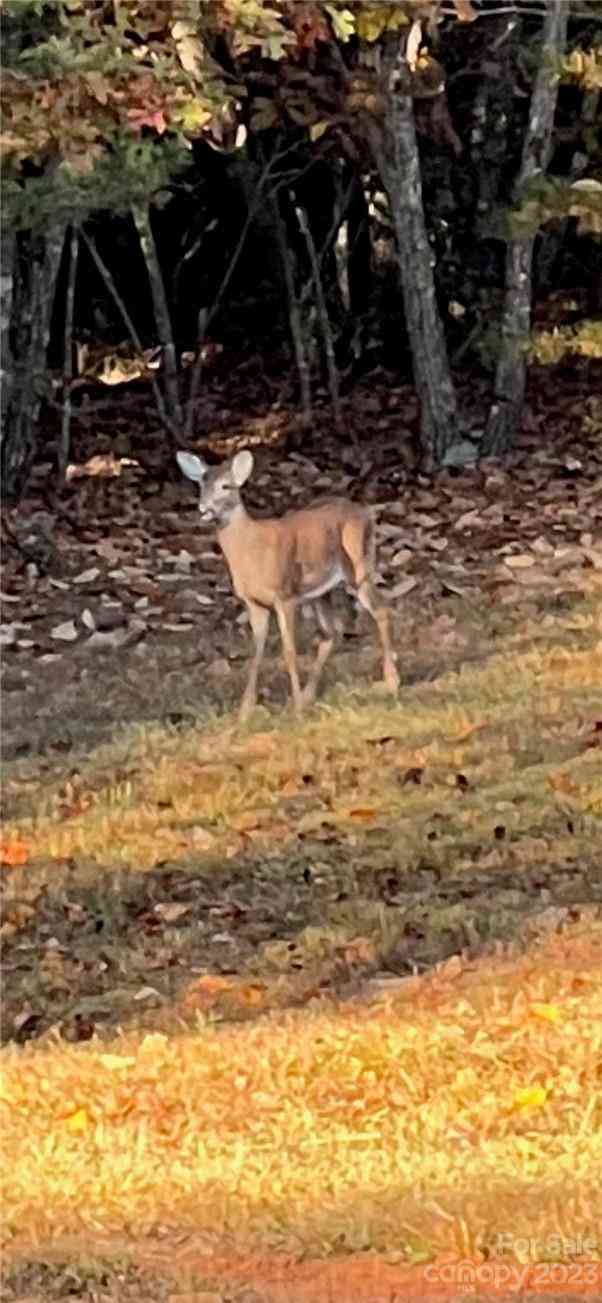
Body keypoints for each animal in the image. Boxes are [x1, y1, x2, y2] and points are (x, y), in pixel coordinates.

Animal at [175, 450, 396, 724]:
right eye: (201, 486)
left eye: (226, 486)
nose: (204, 508)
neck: (250, 549)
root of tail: (365, 512)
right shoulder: (253, 602)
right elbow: (256, 652)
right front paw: (245, 710)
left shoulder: (285, 594)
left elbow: (289, 650)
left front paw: (297, 709)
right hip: (321, 590)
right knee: (332, 631)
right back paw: (311, 695)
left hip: (359, 565)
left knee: (381, 611)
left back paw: (392, 682)